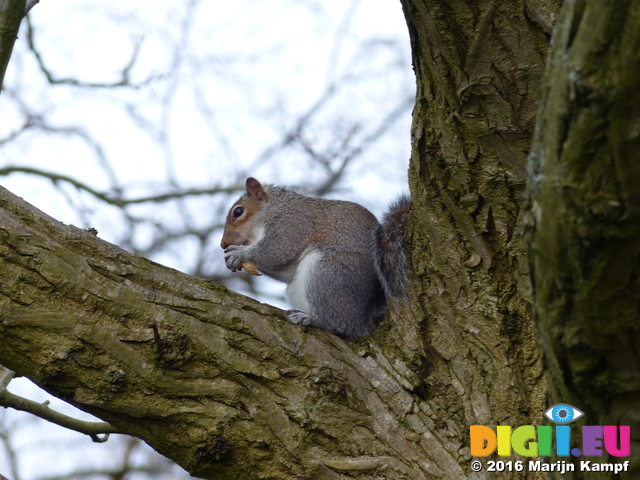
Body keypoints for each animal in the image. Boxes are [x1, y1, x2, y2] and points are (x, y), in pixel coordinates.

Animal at [220, 176, 410, 338]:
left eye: (238, 211)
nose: (223, 244)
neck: (274, 208)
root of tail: (364, 319)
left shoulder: (291, 225)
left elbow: (276, 251)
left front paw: (239, 253)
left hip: (325, 274)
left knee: (342, 325)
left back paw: (312, 319)